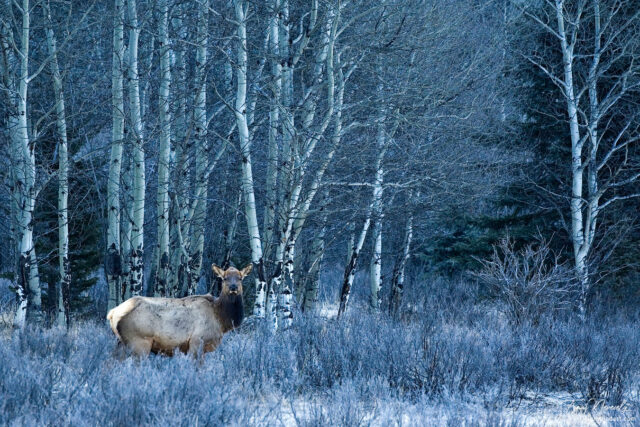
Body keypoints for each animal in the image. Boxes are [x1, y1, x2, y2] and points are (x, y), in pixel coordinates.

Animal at [106, 264, 251, 357]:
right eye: (225, 278)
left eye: (240, 278)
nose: (233, 287)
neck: (221, 320)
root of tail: (112, 313)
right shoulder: (197, 341)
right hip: (139, 342)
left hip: (121, 343)